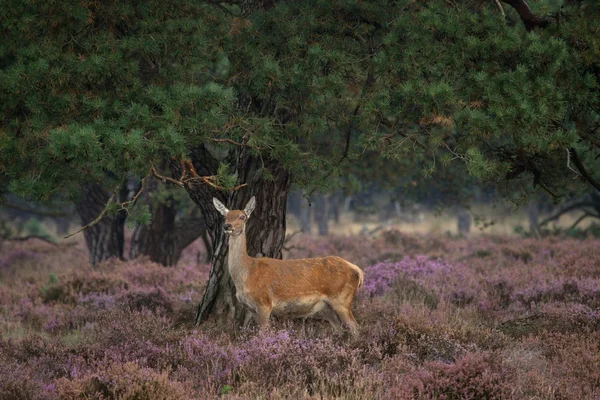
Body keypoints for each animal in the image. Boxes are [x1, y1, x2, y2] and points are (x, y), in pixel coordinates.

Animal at [214, 195, 366, 336]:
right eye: (225, 216)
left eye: (242, 216)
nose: (227, 226)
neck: (247, 274)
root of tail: (357, 270)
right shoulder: (251, 308)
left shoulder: (264, 302)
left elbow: (262, 334)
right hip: (327, 307)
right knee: (340, 330)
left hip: (342, 299)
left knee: (355, 328)